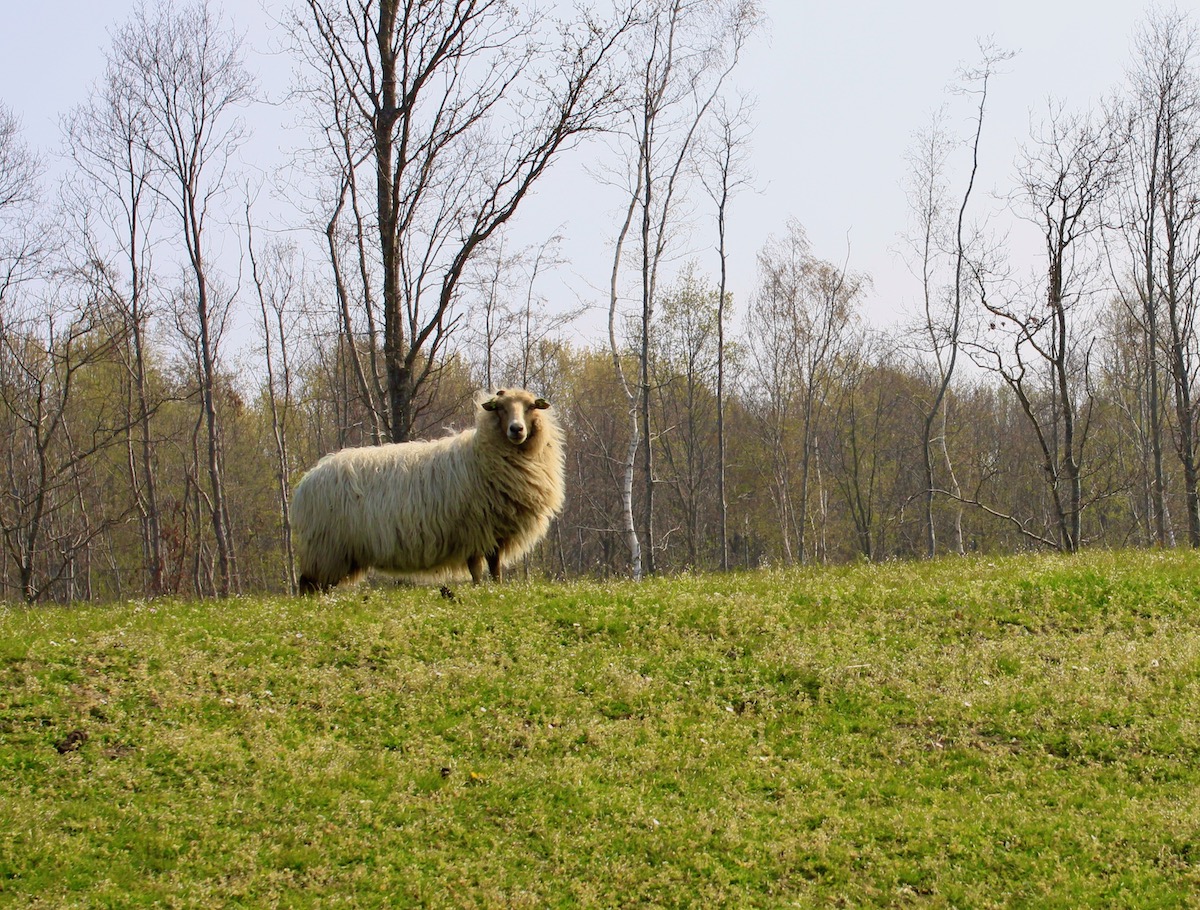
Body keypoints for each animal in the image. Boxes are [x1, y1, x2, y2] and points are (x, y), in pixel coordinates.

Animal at [294, 388, 566, 595]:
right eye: (500, 408)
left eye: (530, 406)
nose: (516, 429)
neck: (482, 454)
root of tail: (307, 479)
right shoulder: (474, 529)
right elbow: (476, 568)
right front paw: (479, 589)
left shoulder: (494, 530)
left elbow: (495, 566)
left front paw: (496, 588)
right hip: (326, 546)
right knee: (308, 583)